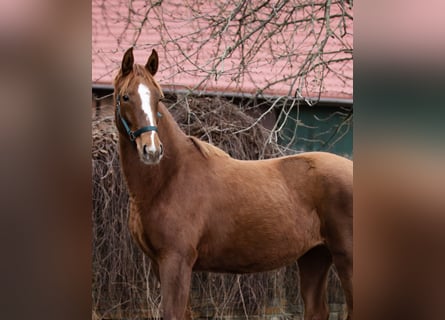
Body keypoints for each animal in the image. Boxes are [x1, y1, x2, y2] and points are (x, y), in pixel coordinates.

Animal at [112, 47, 352, 320]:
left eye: (159, 98)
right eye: (125, 97)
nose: (151, 150)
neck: (169, 179)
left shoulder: (176, 260)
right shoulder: (160, 263)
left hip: (347, 258)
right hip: (315, 257)